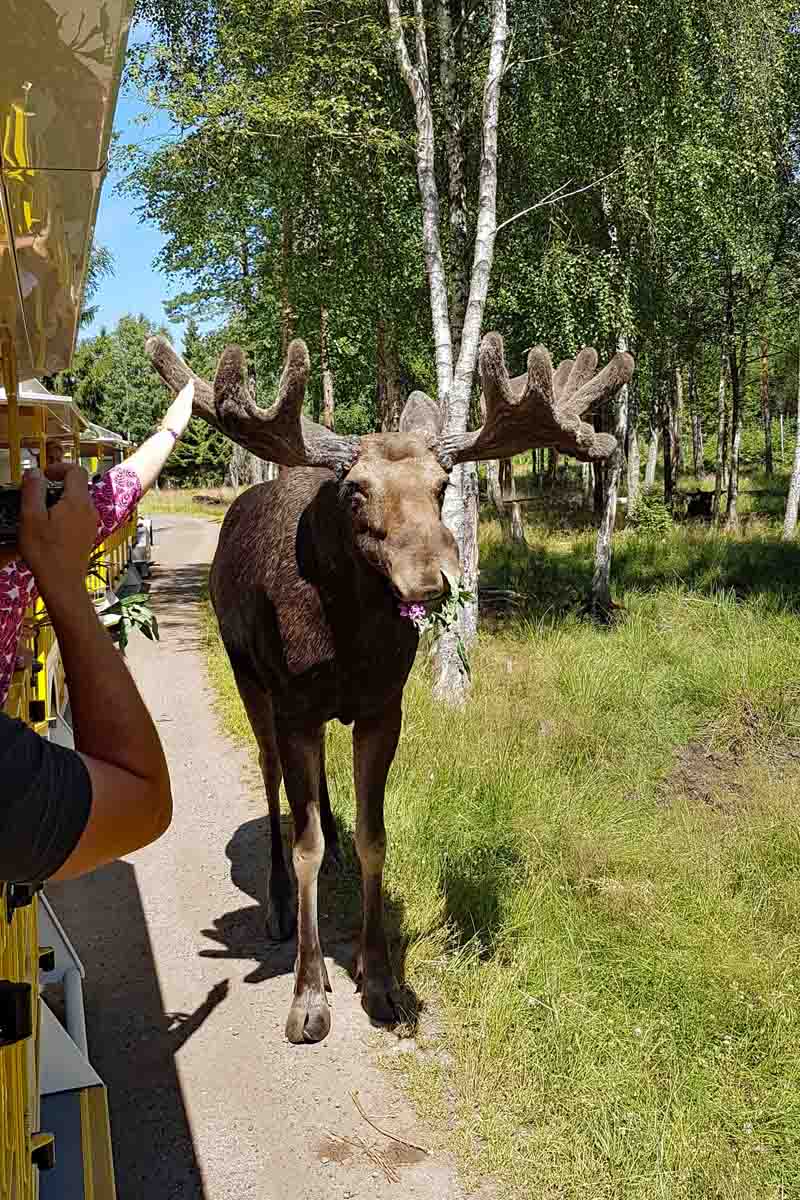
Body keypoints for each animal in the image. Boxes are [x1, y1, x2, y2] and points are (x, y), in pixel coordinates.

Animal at [145, 328, 633, 1041]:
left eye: (442, 482)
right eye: (355, 489)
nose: (434, 578)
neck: (349, 642)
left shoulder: (383, 707)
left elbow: (375, 838)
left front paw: (378, 981)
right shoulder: (295, 706)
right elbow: (305, 843)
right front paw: (309, 994)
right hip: (249, 679)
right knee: (271, 783)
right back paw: (279, 906)